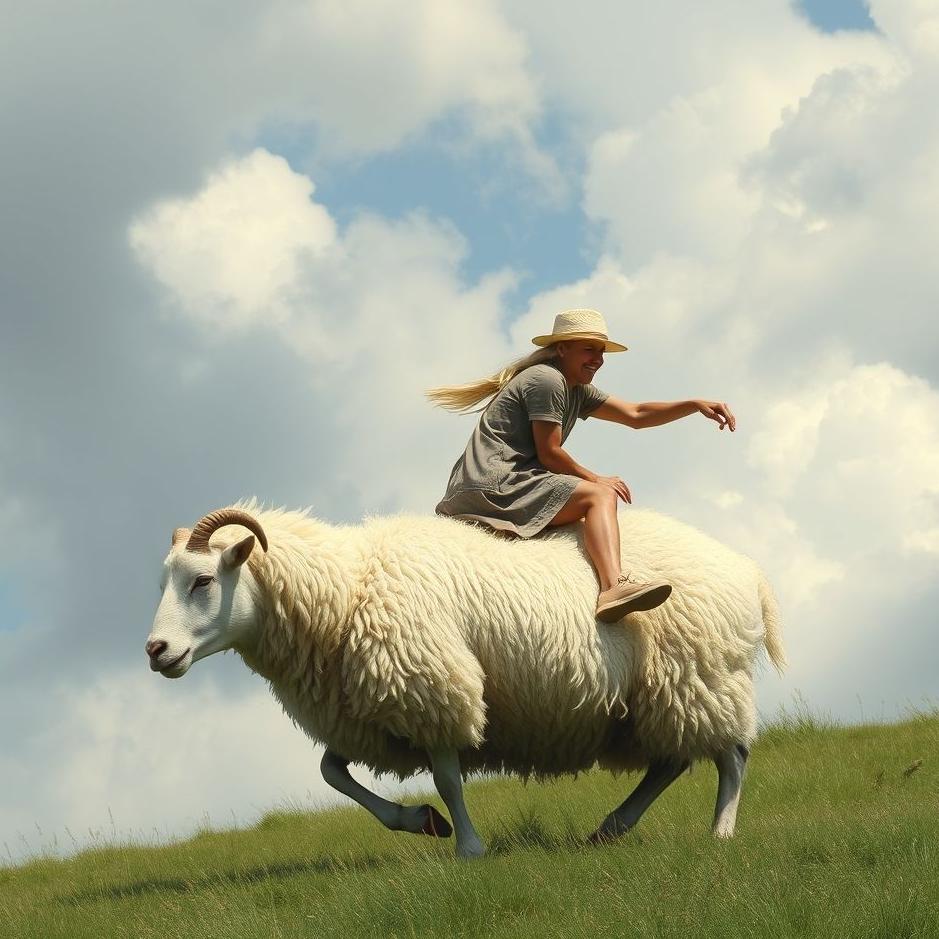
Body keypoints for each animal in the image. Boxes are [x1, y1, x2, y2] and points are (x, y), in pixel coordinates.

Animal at [146, 503, 785, 858]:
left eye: (203, 579)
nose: (156, 651)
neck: (347, 588)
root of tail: (747, 570)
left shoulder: (433, 690)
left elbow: (450, 780)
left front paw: (469, 848)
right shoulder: (366, 712)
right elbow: (331, 773)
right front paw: (420, 822)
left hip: (699, 675)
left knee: (732, 757)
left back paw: (721, 834)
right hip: (659, 697)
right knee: (671, 760)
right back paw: (611, 828)